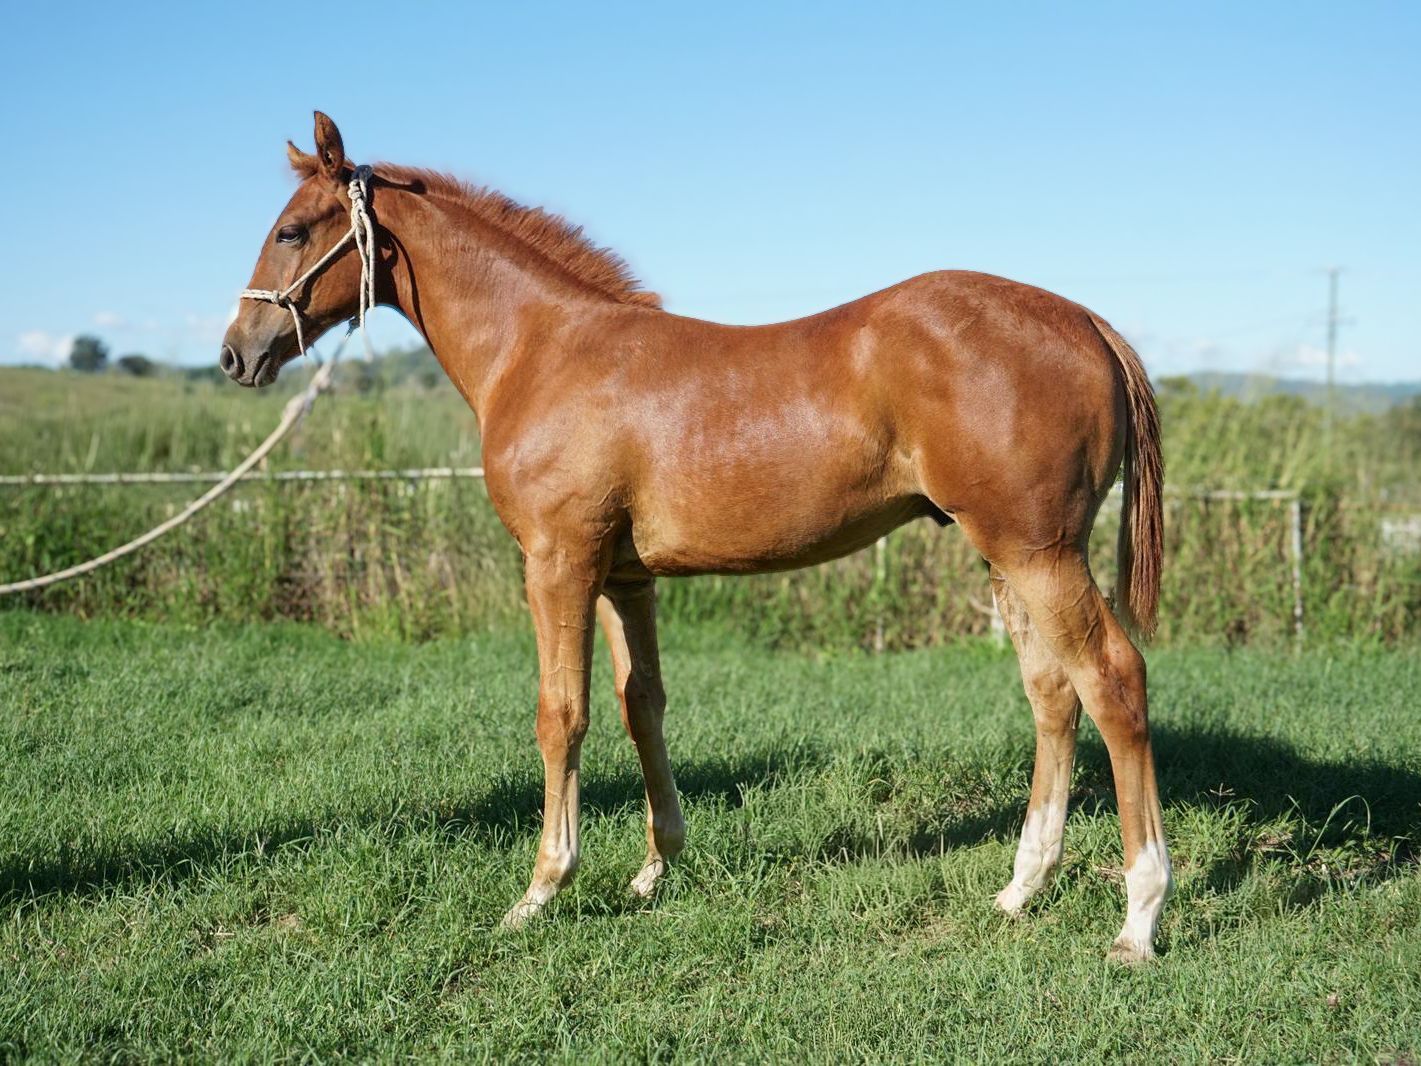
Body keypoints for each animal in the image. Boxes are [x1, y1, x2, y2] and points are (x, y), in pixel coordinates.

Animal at [221, 113, 1172, 963]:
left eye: (291, 230)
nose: (236, 353)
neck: (544, 350)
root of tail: (1087, 322)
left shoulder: (556, 563)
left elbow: (560, 714)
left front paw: (540, 891)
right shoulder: (621, 577)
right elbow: (639, 704)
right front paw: (654, 869)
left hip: (1038, 553)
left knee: (1112, 679)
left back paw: (1138, 918)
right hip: (1006, 556)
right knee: (1052, 695)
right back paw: (1021, 887)